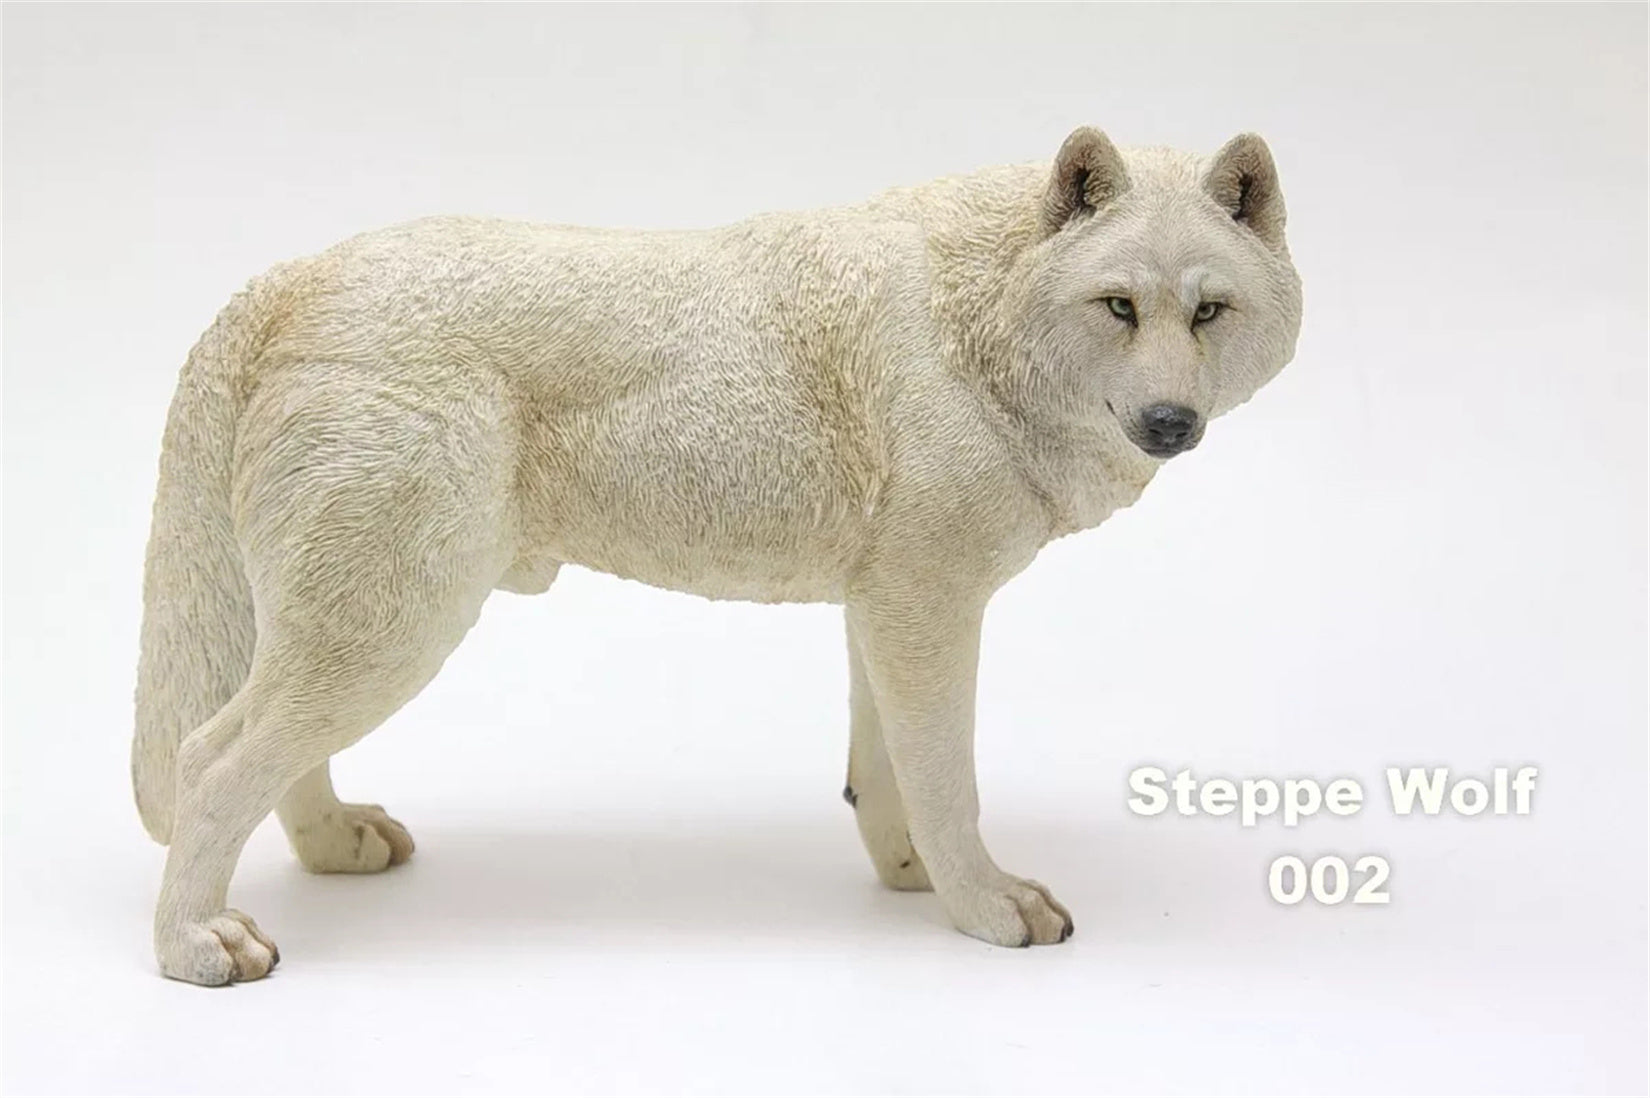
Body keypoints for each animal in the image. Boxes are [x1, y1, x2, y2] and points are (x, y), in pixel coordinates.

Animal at [133, 127, 1302, 984]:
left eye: (1209, 311)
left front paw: (914, 881)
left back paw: (337, 847)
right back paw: (195, 946)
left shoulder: (885, 607)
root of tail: (289, 278)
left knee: (275, 757)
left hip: (354, 626)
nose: (1169, 423)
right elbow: (948, 782)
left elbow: (887, 779)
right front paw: (982, 906)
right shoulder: (930, 604)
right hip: (395, 629)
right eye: (1119, 306)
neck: (978, 322)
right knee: (211, 762)